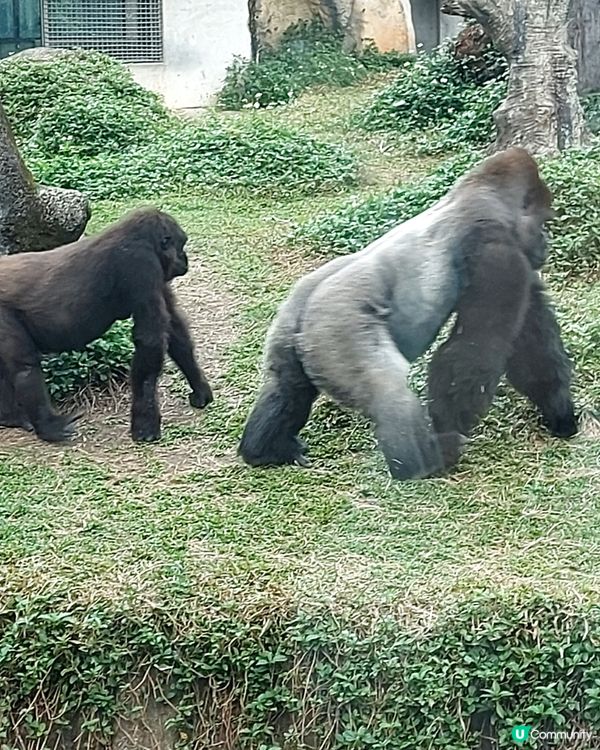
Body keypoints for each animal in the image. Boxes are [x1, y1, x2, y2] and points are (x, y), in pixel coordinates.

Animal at [0, 209, 213, 444]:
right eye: (181, 244)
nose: (185, 259)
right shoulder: (141, 263)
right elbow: (150, 341)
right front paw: (145, 425)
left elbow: (175, 330)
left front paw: (200, 389)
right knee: (24, 367)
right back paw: (49, 427)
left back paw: (11, 417)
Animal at [238, 148, 576, 482]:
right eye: (544, 222)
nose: (545, 244)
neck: (479, 193)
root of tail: (305, 311)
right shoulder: (497, 249)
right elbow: (475, 351)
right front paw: (448, 434)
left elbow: (531, 346)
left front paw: (561, 412)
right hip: (336, 327)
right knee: (388, 390)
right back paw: (424, 465)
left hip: (289, 322)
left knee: (286, 385)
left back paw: (266, 450)